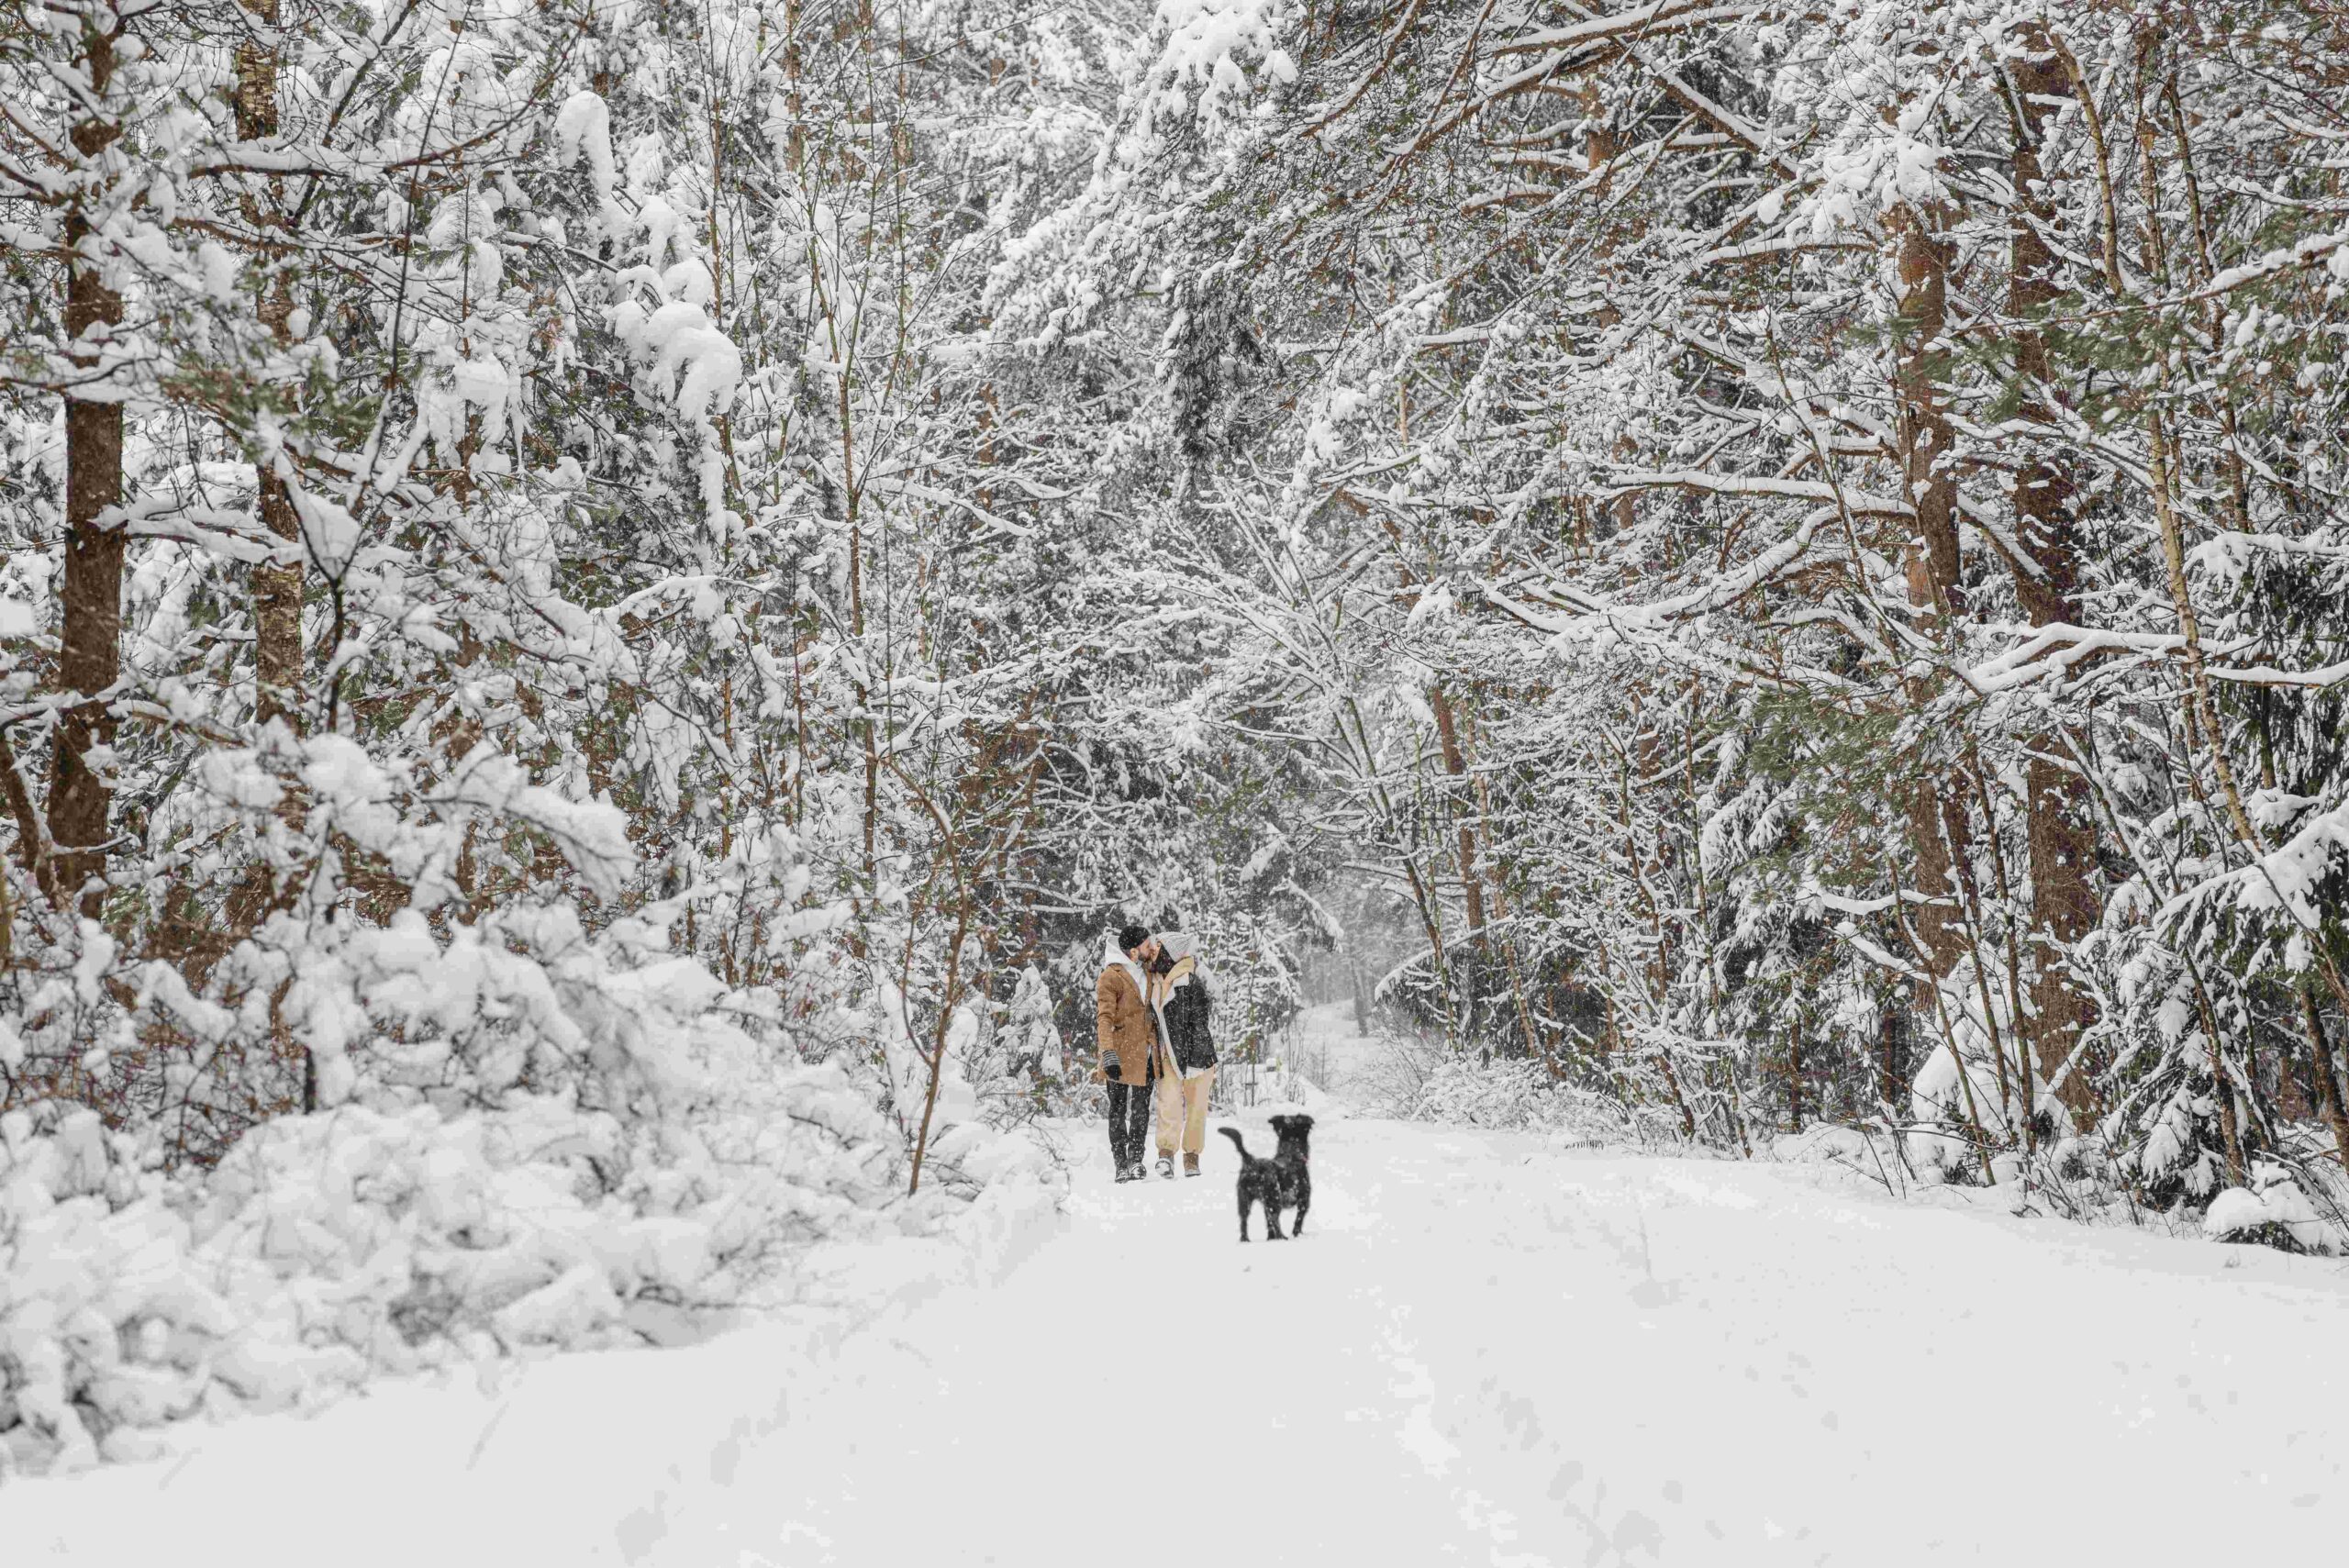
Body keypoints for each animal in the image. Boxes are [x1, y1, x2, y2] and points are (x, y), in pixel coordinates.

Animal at [1221, 1112, 1315, 1249]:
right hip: (1274, 1198)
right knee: (1275, 1219)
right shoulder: (1304, 1200)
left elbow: (1269, 1224)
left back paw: (1245, 1240)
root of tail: (1251, 1163)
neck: (1291, 1152)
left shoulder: (1265, 1204)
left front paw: (1270, 1239)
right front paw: (1295, 1235)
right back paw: (1283, 1238)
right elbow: (1298, 1221)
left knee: (1244, 1222)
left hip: (1244, 1200)